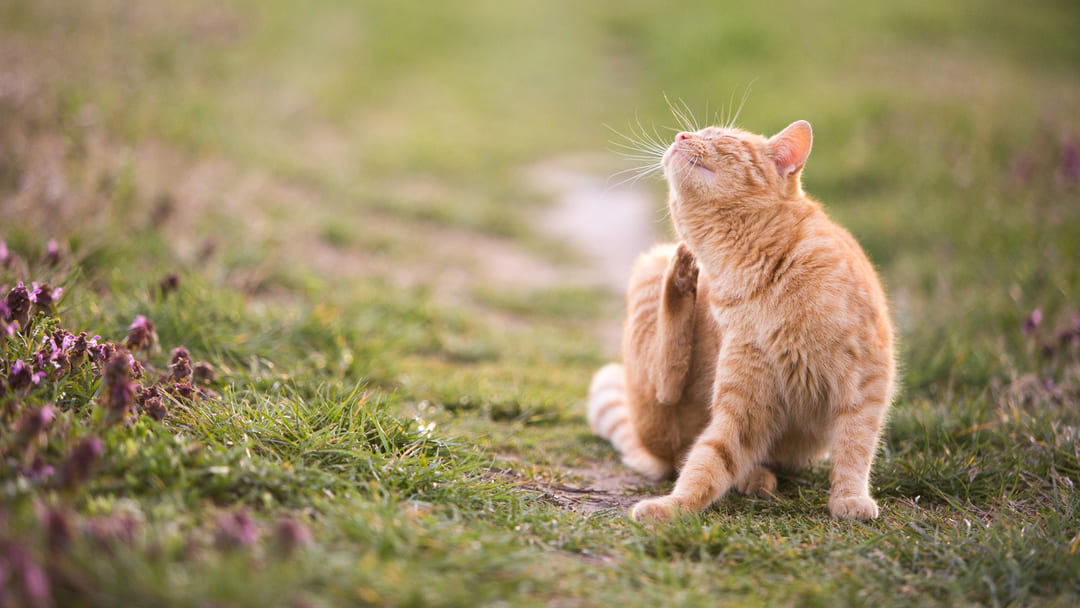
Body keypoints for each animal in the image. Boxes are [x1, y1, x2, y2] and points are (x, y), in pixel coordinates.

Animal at [587, 120, 898, 522]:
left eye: (720, 137)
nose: (681, 137)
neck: (750, 269)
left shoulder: (865, 380)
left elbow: (854, 445)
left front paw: (849, 498)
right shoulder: (742, 402)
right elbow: (707, 462)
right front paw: (671, 507)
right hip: (650, 271)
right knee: (667, 393)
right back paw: (682, 277)